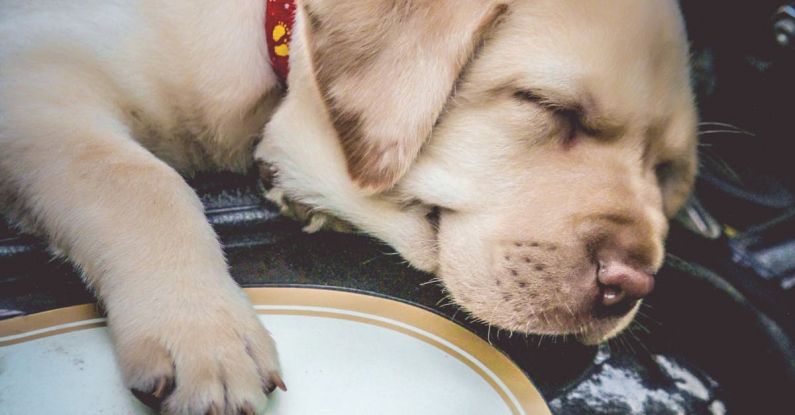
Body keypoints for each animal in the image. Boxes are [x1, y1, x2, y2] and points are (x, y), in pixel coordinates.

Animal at [0, 0, 696, 415]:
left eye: (665, 171)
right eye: (549, 107)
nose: (633, 284)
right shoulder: (39, 72)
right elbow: (137, 179)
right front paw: (204, 336)